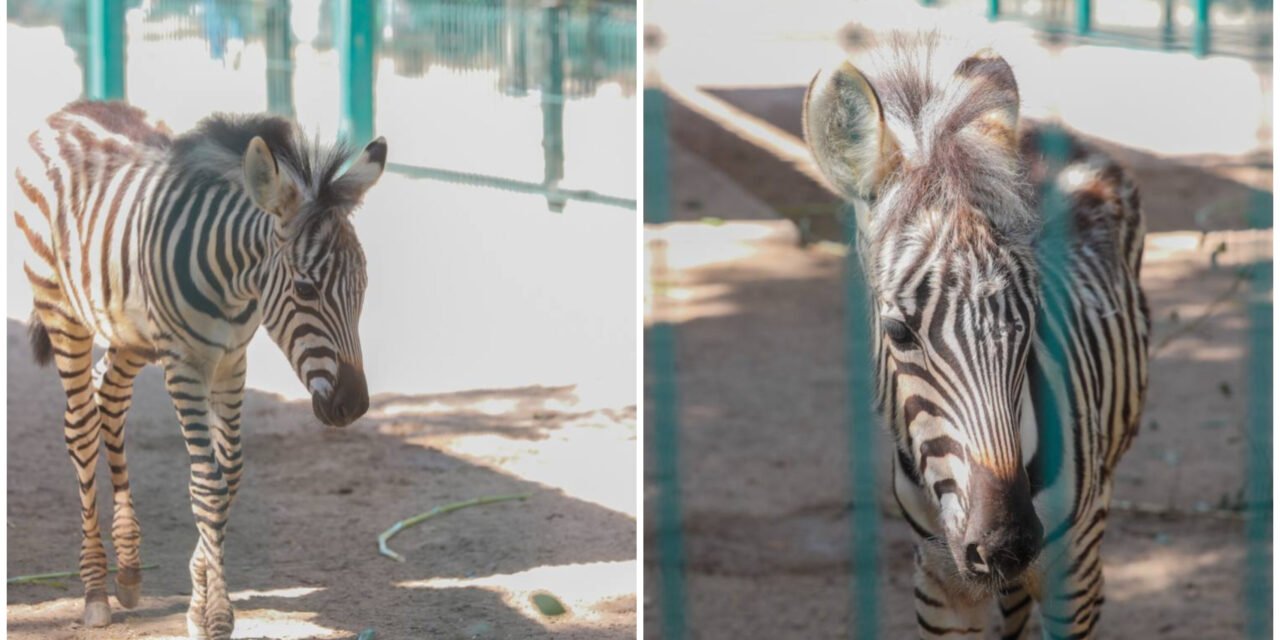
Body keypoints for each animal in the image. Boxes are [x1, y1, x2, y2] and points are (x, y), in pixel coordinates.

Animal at [13, 100, 386, 640]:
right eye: (305, 289)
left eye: (363, 288)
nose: (353, 406)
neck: (234, 281)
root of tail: (73, 109)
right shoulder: (185, 364)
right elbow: (207, 483)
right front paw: (216, 616)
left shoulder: (232, 361)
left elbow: (229, 474)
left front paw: (196, 603)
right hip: (62, 311)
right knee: (81, 427)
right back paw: (95, 591)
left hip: (130, 333)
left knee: (109, 400)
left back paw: (129, 571)